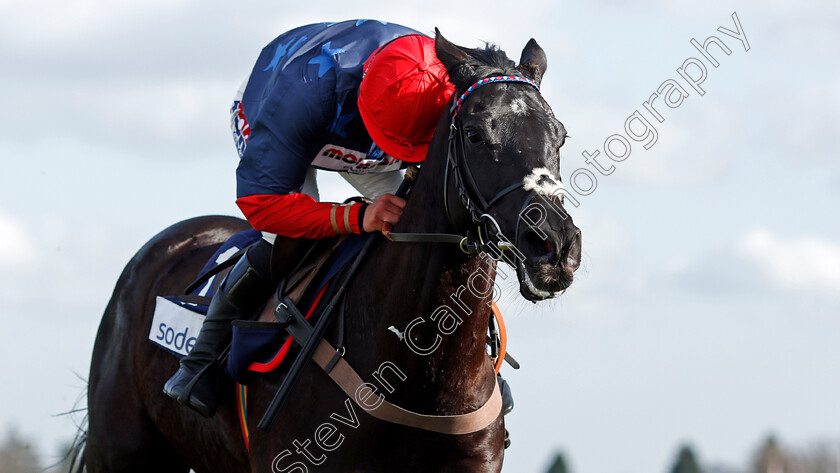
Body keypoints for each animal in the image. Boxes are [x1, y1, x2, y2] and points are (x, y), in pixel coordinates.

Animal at [85, 30, 584, 472]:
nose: (555, 245)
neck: (421, 374)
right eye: (476, 134)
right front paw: (374, 214)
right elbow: (262, 197)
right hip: (119, 449)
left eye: (559, 136)